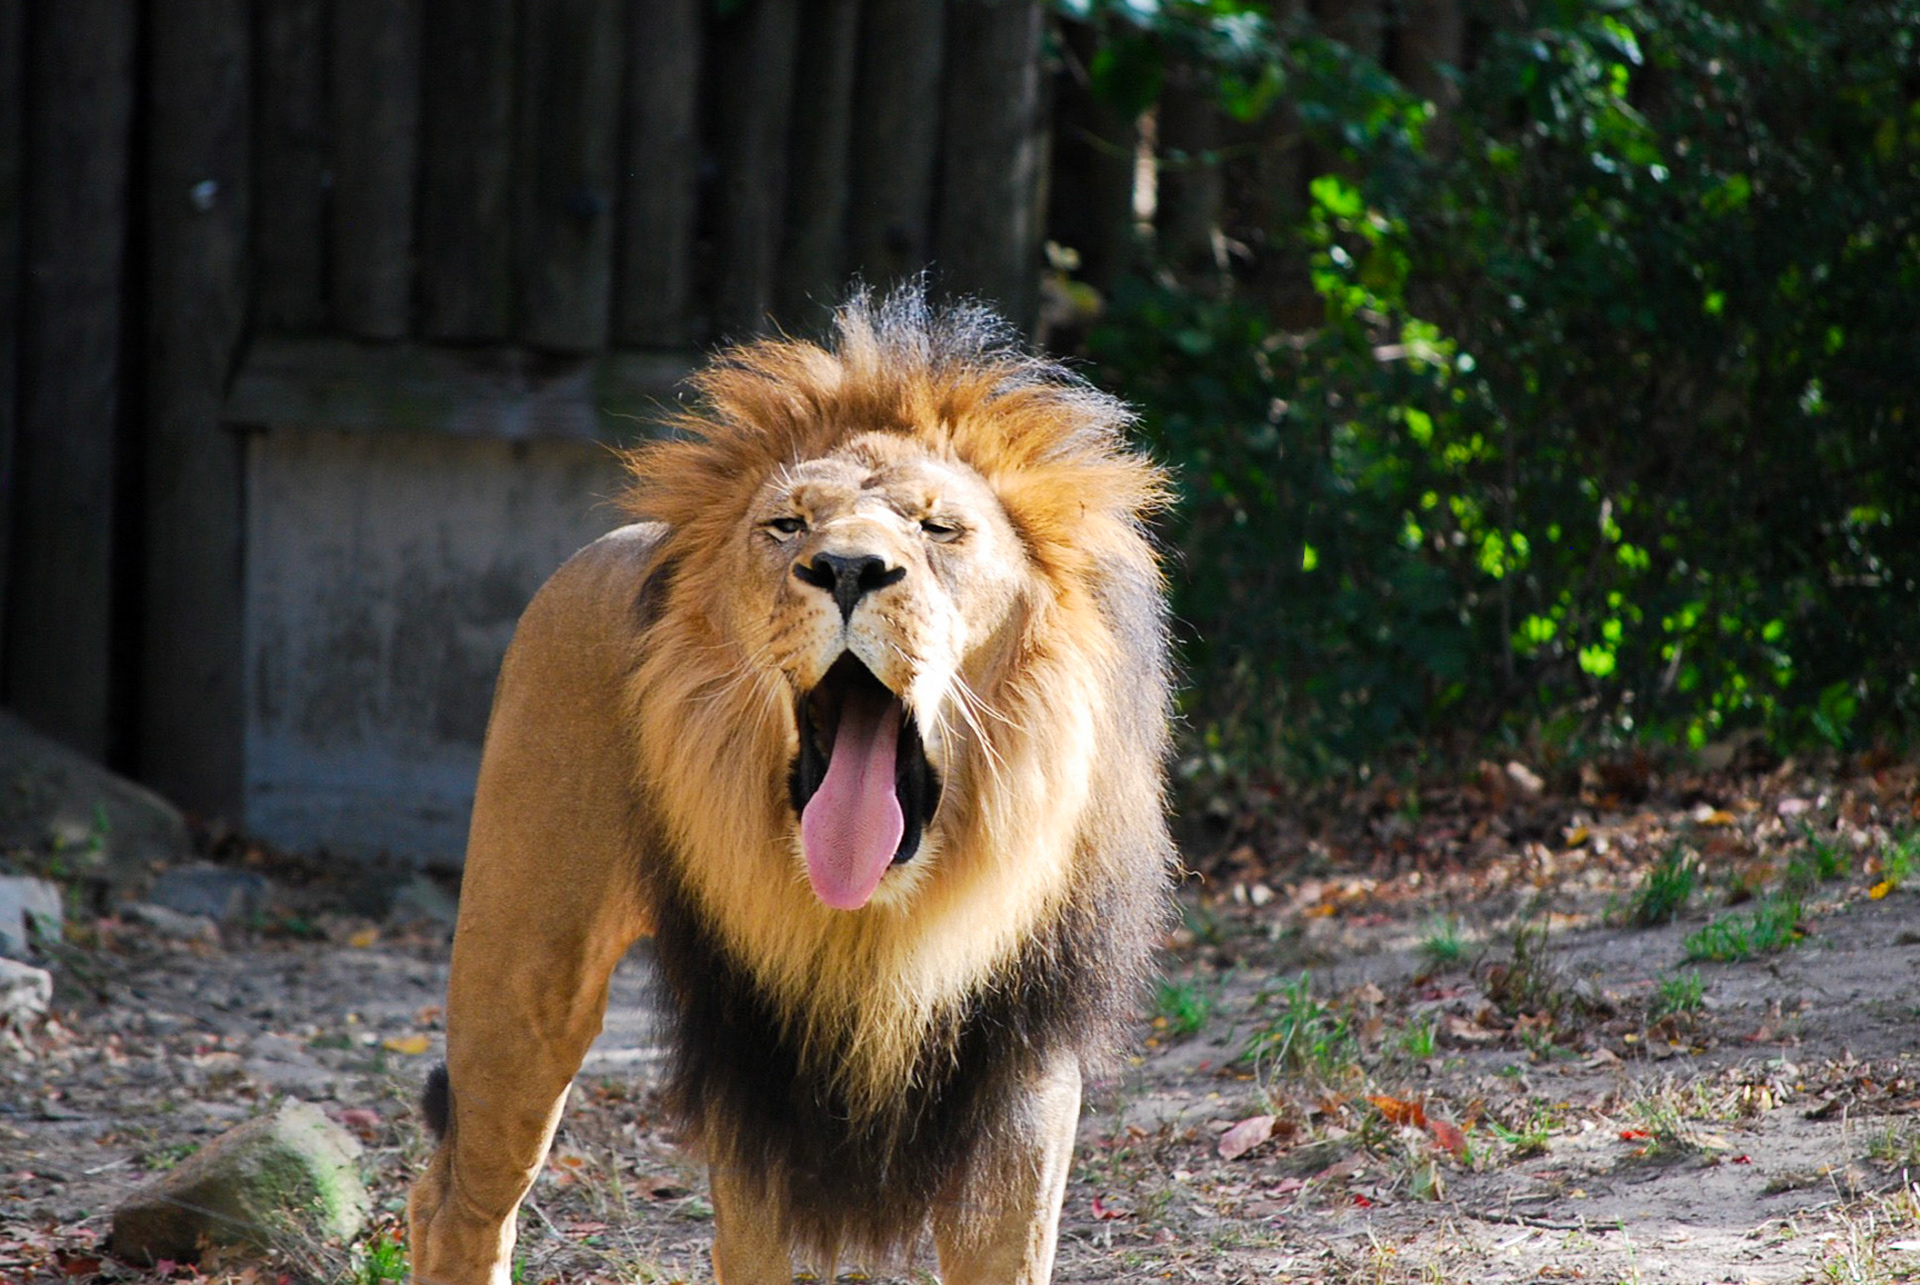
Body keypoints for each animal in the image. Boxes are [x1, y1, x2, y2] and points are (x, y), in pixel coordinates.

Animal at [407, 288, 1174, 1285]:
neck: (876, 926)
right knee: (458, 1203)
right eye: (789, 525)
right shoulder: (759, 1081)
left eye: (938, 528)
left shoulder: (1019, 1073)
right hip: (523, 983)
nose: (848, 567)